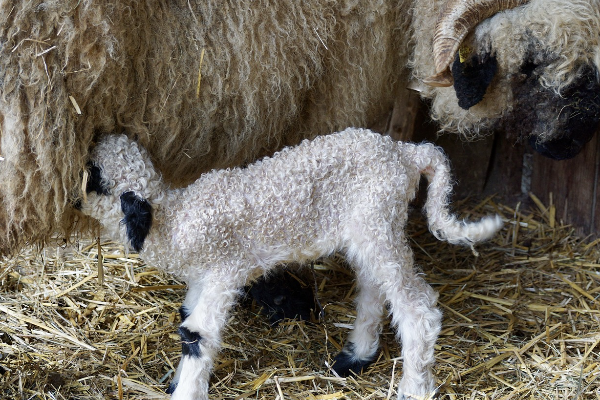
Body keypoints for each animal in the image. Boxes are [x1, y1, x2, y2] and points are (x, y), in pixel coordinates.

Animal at [79, 130, 502, 398]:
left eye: (93, 176)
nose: (71, 194)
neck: (175, 219)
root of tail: (408, 152)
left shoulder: (224, 271)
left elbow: (198, 336)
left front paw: (185, 390)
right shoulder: (202, 279)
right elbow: (186, 325)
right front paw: (175, 382)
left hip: (379, 221)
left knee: (418, 309)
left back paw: (414, 389)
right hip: (370, 228)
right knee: (373, 290)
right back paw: (355, 358)